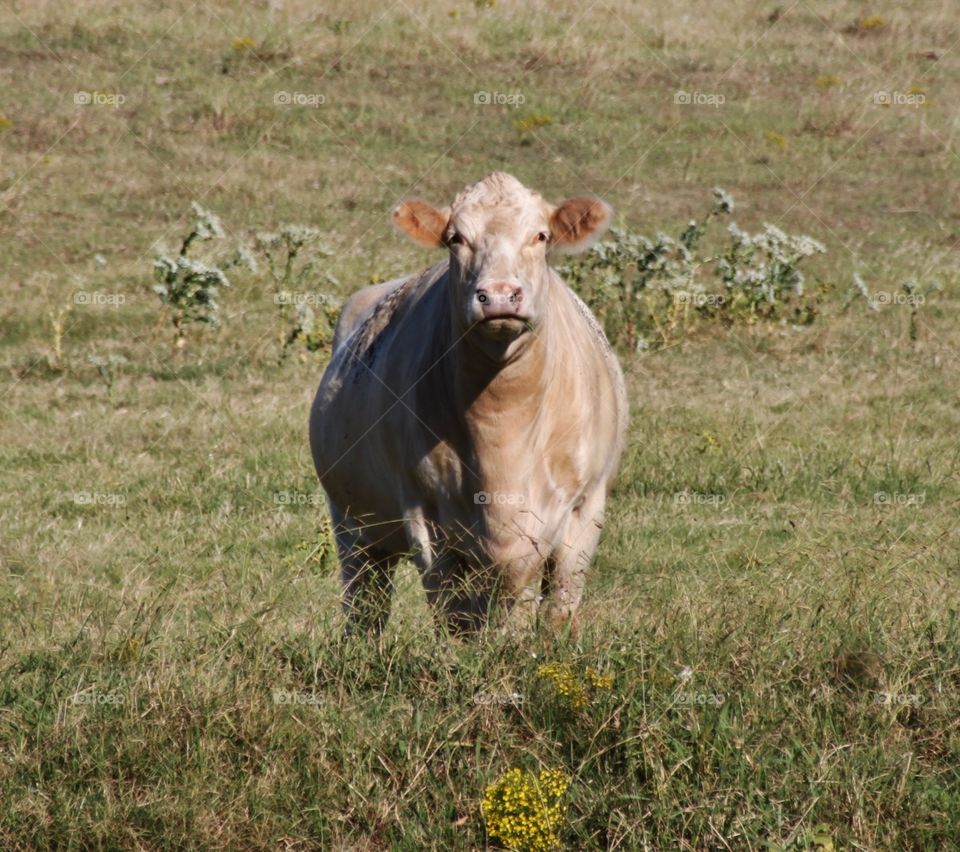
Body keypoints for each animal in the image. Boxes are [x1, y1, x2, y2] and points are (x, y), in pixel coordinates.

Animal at [309, 172, 628, 637]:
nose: (498, 295)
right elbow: (453, 611)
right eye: (455, 238)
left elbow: (554, 604)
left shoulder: (584, 507)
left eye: (541, 235)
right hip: (352, 520)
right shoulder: (423, 513)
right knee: (365, 597)